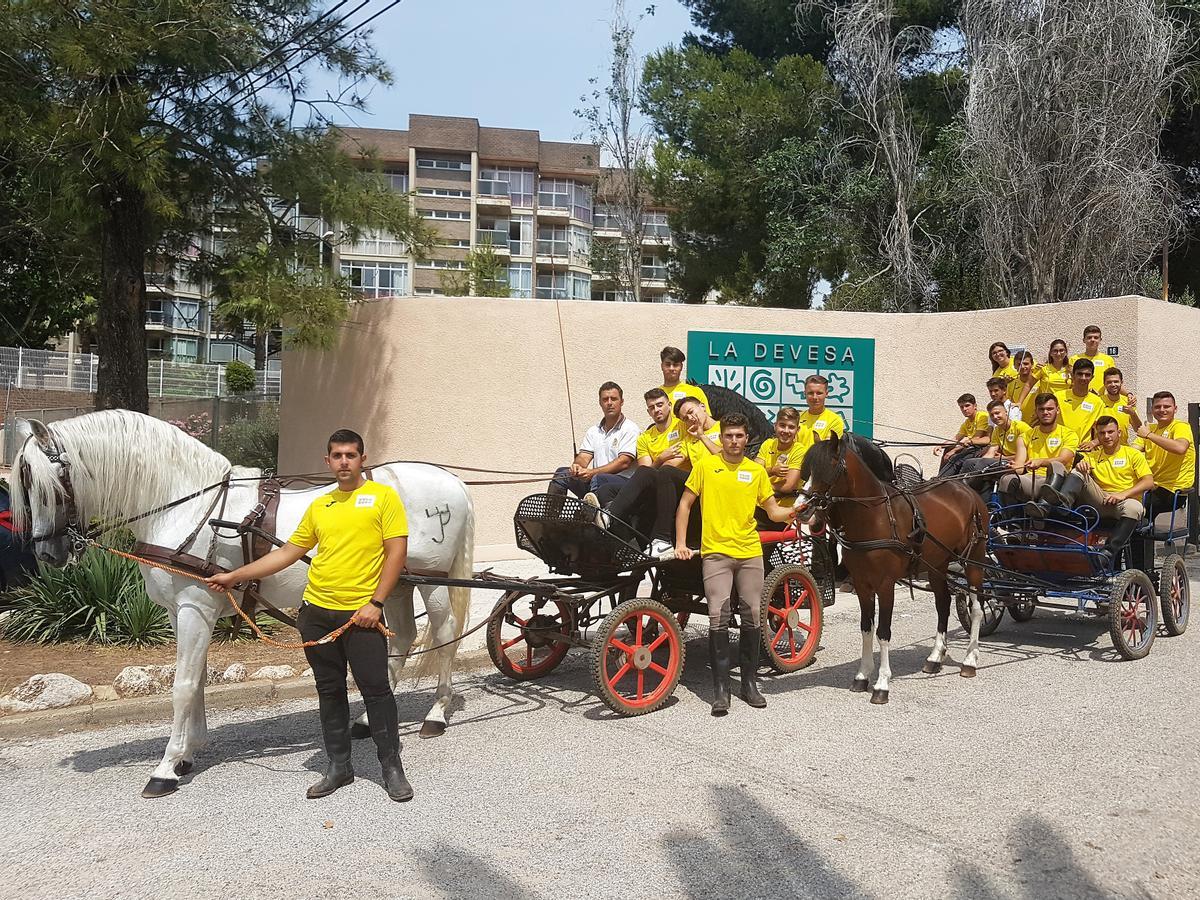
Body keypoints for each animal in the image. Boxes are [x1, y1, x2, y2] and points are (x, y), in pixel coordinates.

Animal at [14, 412, 475, 801]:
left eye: (45, 485)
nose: (48, 554)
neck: (188, 508)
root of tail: (449, 480)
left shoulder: (194, 608)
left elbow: (182, 687)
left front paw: (165, 768)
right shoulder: (181, 613)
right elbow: (197, 680)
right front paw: (188, 754)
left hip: (432, 581)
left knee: (445, 635)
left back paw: (437, 713)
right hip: (396, 585)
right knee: (404, 637)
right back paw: (366, 720)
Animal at [801, 434, 988, 705]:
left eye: (828, 469)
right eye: (806, 469)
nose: (801, 509)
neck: (875, 516)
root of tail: (968, 491)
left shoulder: (885, 584)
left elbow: (883, 632)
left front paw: (881, 683)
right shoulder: (862, 583)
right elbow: (866, 628)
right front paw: (862, 676)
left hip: (974, 560)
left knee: (976, 609)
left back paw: (970, 660)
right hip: (937, 564)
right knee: (942, 604)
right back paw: (935, 657)